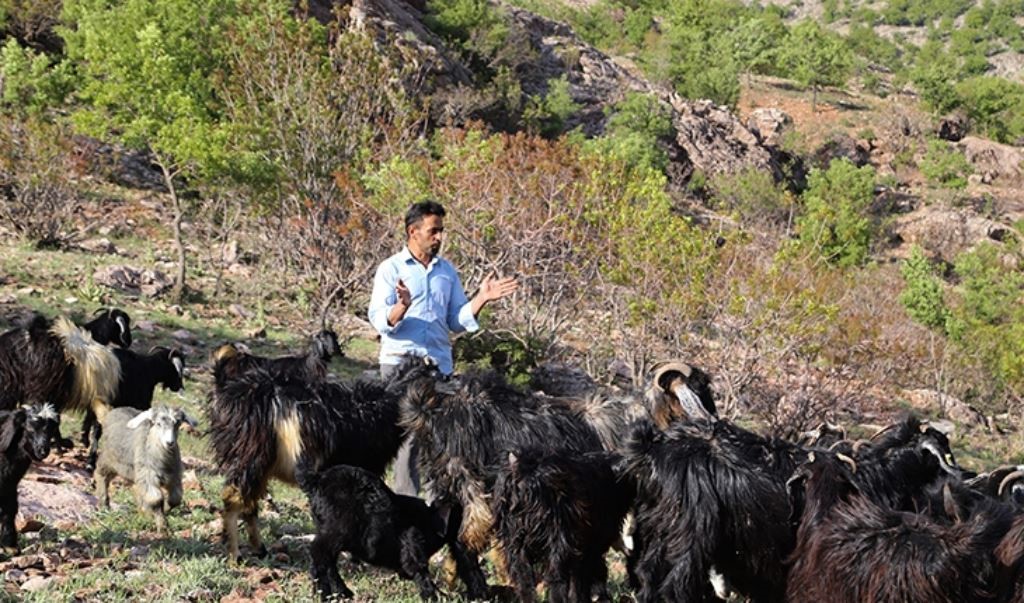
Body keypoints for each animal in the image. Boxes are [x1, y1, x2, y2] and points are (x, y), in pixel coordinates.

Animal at [0, 405, 59, 548]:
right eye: (30, 429)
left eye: (51, 430)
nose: (43, 451)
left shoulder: (10, 483)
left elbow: (10, 508)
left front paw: (10, 543)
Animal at [299, 462, 468, 597]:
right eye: (459, 513)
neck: (429, 520)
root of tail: (316, 480)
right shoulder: (412, 543)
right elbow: (419, 569)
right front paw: (436, 595)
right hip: (338, 528)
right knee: (319, 554)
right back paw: (326, 593)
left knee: (328, 562)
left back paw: (339, 593)